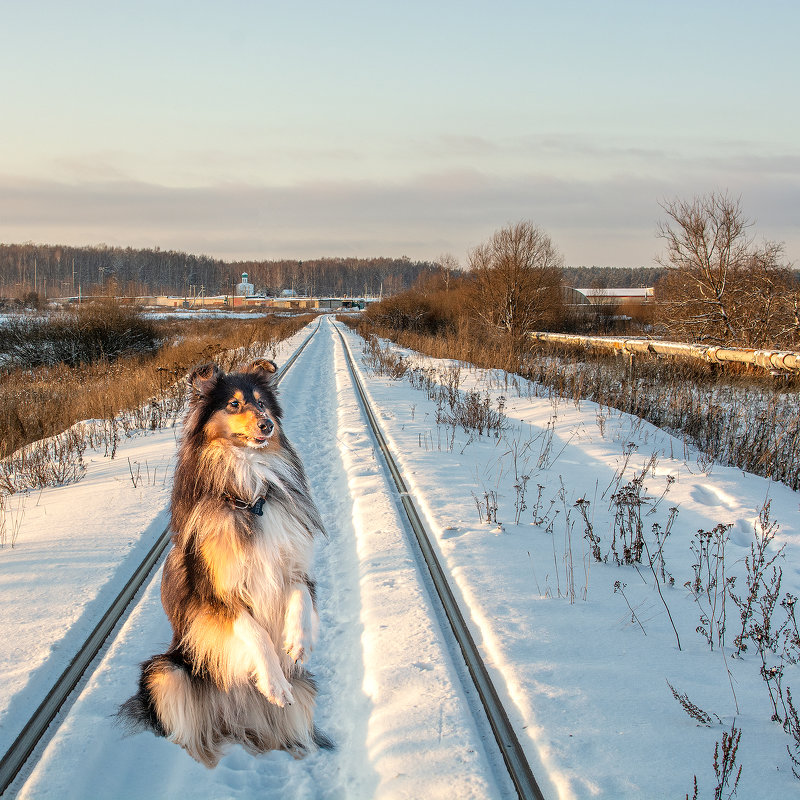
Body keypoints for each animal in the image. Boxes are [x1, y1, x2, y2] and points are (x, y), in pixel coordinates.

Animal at [119, 360, 332, 764]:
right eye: (233, 405)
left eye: (261, 402)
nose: (266, 425)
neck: (248, 495)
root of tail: (231, 721)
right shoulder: (211, 594)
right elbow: (253, 630)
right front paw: (274, 682)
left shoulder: (293, 568)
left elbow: (300, 596)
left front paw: (297, 642)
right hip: (164, 671)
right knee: (189, 733)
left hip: (304, 693)